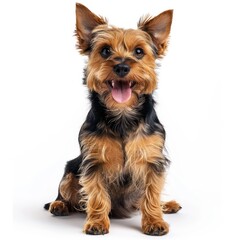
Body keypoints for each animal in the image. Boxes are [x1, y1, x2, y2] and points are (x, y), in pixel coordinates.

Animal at [44, 2, 181, 235]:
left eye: (139, 52)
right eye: (105, 50)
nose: (122, 66)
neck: (122, 114)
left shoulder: (153, 160)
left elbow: (152, 193)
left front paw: (154, 221)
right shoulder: (93, 161)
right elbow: (96, 194)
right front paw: (97, 222)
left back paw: (168, 205)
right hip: (71, 169)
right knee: (66, 190)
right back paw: (59, 204)